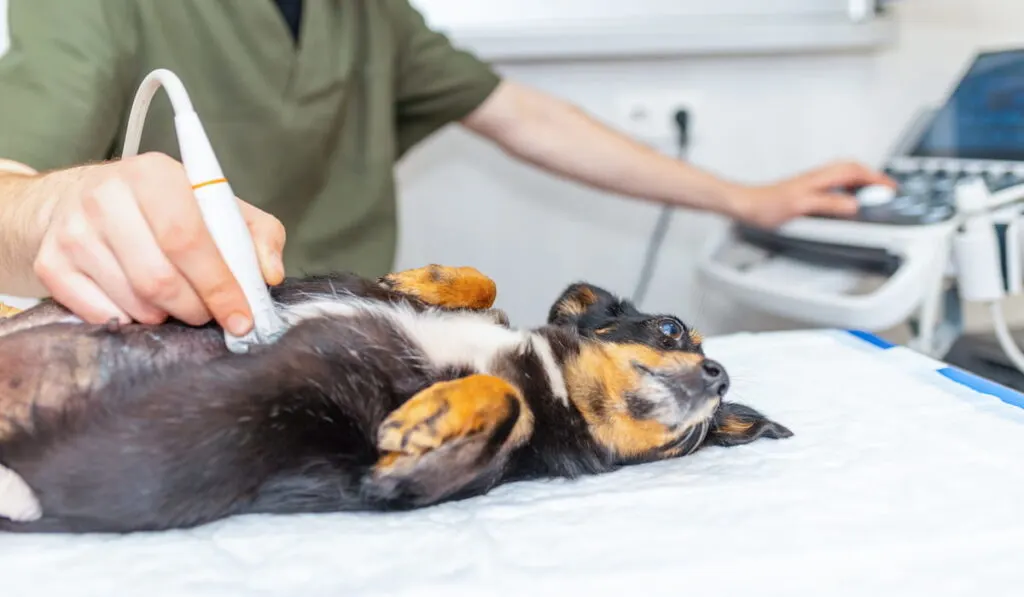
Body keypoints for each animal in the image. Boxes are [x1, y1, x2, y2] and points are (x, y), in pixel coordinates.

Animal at [0, 264, 790, 536]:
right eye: (671, 328)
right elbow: (478, 284)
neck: (550, 380)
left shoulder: (391, 482)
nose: (718, 373)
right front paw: (423, 277)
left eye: (693, 439)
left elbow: (506, 401)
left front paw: (428, 415)